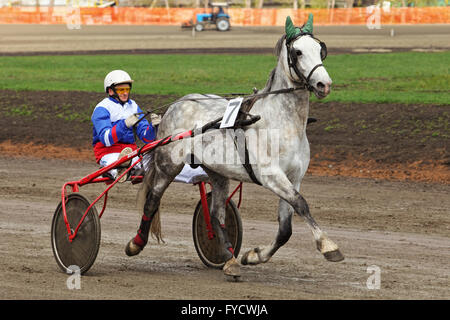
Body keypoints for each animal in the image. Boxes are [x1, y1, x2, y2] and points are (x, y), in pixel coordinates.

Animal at [125, 15, 342, 278]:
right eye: (298, 52)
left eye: (320, 49)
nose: (324, 84)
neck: (282, 122)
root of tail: (176, 104)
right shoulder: (271, 175)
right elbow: (301, 203)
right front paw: (328, 246)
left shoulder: (294, 177)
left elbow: (285, 229)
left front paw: (253, 255)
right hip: (168, 165)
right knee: (152, 200)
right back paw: (136, 243)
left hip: (217, 172)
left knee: (216, 214)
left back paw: (230, 258)